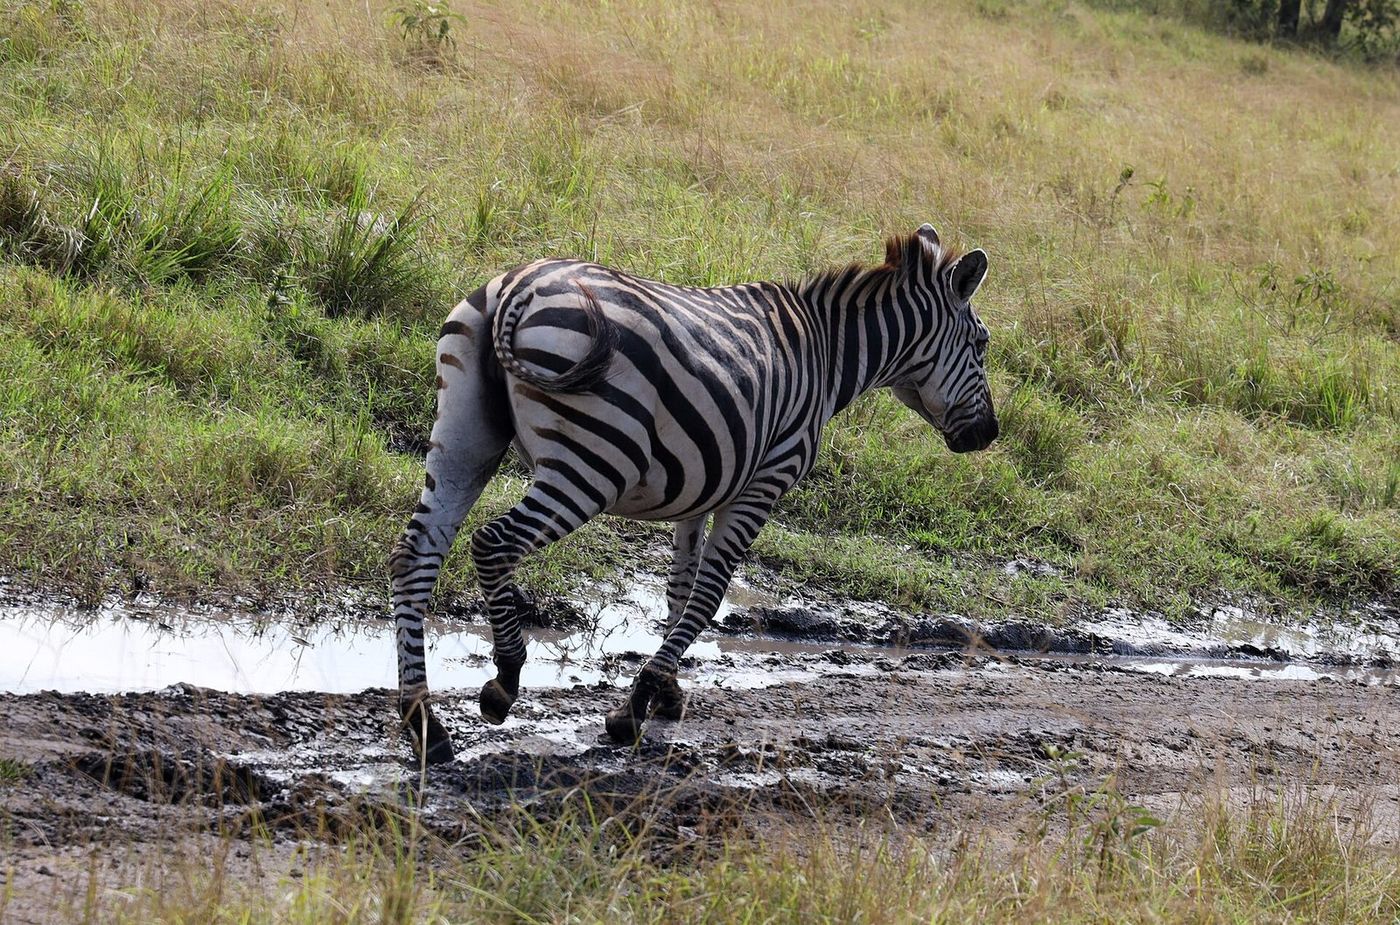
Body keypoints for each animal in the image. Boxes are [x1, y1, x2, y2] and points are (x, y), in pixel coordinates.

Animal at [390, 222, 998, 764]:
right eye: (982, 345)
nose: (989, 435)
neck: (826, 355)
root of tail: (517, 287)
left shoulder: (701, 486)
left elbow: (680, 589)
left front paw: (667, 693)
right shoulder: (763, 483)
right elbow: (708, 596)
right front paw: (634, 708)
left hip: (464, 436)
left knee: (414, 555)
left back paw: (425, 724)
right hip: (593, 461)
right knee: (495, 543)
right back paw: (504, 681)